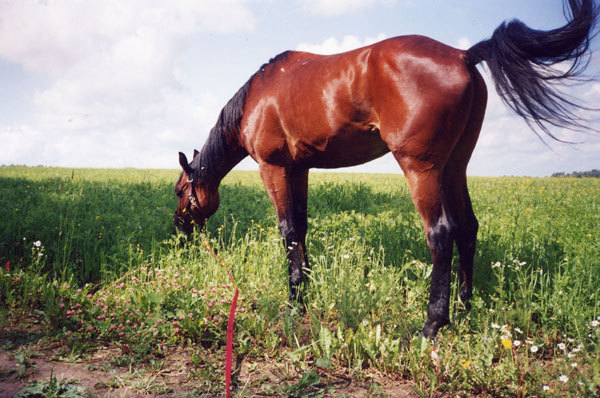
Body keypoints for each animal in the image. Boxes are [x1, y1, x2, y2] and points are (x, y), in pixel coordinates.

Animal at [172, 0, 596, 338]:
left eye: (180, 191)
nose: (179, 232)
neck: (257, 98)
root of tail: (463, 55)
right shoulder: (299, 169)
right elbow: (302, 228)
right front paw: (306, 287)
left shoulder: (273, 168)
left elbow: (289, 231)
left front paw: (294, 301)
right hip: (454, 167)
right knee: (467, 228)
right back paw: (463, 307)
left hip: (421, 170)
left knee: (441, 235)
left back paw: (432, 323)